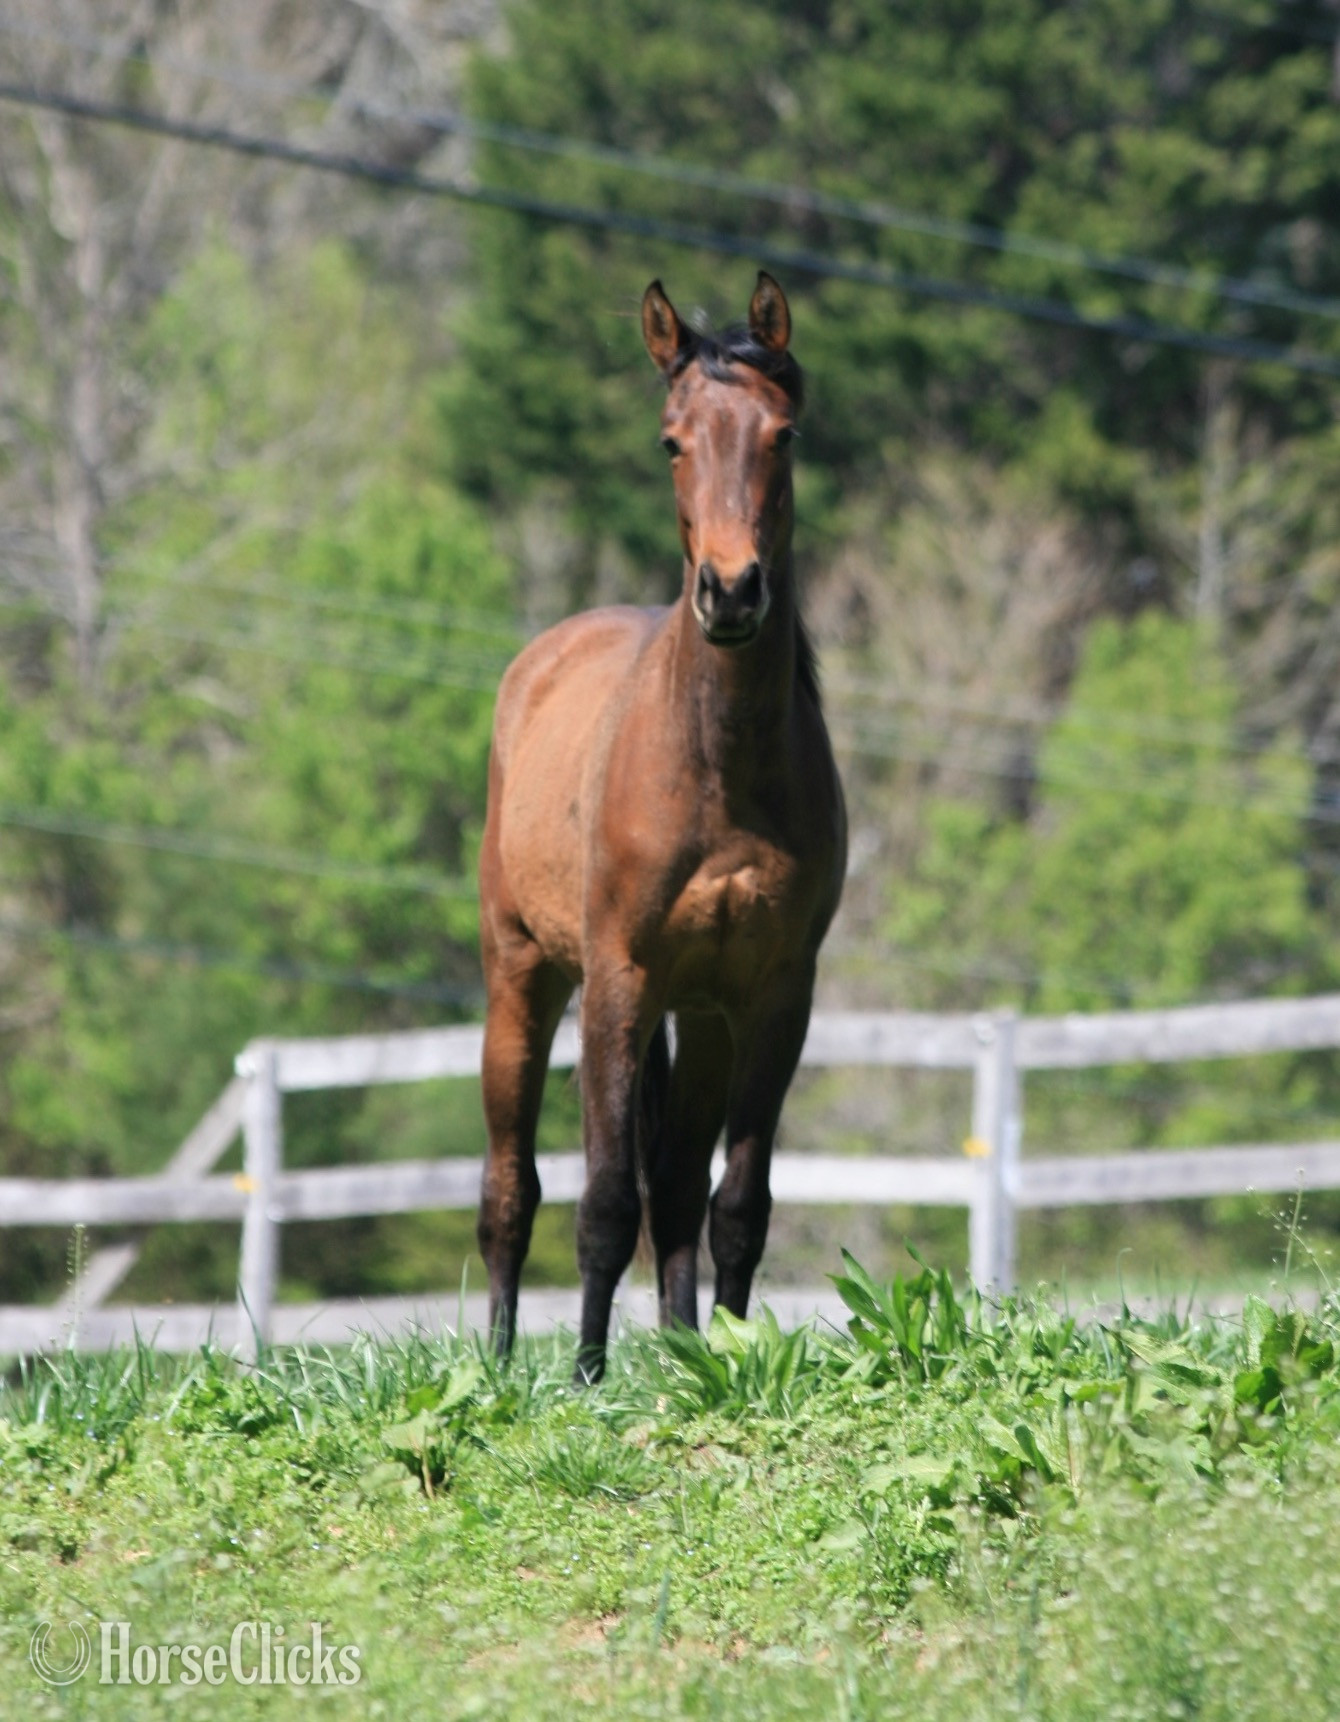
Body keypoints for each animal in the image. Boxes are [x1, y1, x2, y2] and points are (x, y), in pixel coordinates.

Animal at [476, 271, 846, 1382]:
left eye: (783, 433)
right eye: (670, 440)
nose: (730, 592)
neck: (716, 768)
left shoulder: (770, 995)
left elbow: (733, 1204)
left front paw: (724, 1358)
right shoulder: (619, 982)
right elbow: (603, 1201)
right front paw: (587, 1376)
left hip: (701, 1016)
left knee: (678, 1189)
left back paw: (684, 1348)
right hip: (524, 979)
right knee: (510, 1192)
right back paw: (499, 1362)